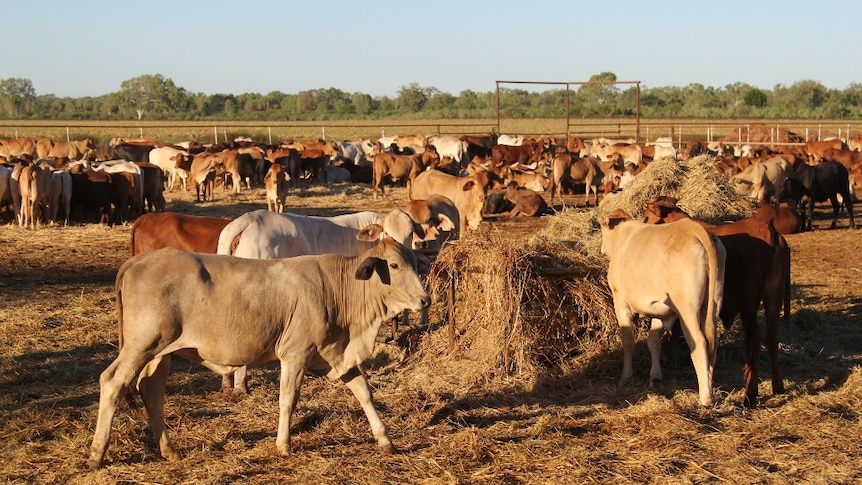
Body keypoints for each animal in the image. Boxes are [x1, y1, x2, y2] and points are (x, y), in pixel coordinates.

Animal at [88, 238, 432, 468]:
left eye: (415, 264)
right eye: (395, 266)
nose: (425, 300)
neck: (339, 290)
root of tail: (136, 261)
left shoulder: (334, 355)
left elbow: (363, 392)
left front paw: (385, 439)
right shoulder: (295, 353)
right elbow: (288, 399)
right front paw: (283, 445)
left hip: (160, 352)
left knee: (151, 390)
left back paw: (169, 450)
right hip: (141, 345)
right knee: (113, 382)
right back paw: (96, 454)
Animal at [600, 210, 728, 406]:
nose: (601, 248)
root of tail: (695, 229)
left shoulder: (620, 302)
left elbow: (628, 341)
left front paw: (625, 377)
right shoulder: (660, 310)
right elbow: (654, 341)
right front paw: (655, 378)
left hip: (687, 309)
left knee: (699, 343)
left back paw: (705, 397)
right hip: (713, 303)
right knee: (713, 341)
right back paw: (709, 385)